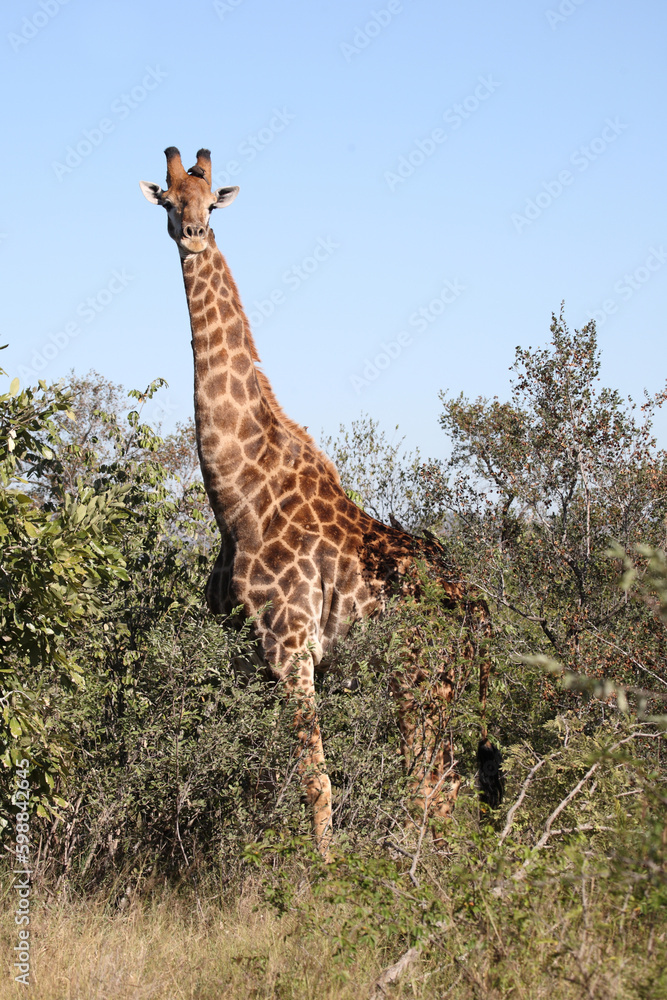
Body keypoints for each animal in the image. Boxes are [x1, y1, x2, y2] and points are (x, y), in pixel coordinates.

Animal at [140, 147, 502, 855]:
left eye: (210, 202)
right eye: (169, 201)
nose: (193, 235)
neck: (236, 495)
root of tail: (476, 609)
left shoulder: (291, 647)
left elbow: (315, 780)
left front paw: (321, 870)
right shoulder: (248, 652)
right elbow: (254, 774)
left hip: (419, 681)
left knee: (432, 787)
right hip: (444, 686)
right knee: (447, 787)